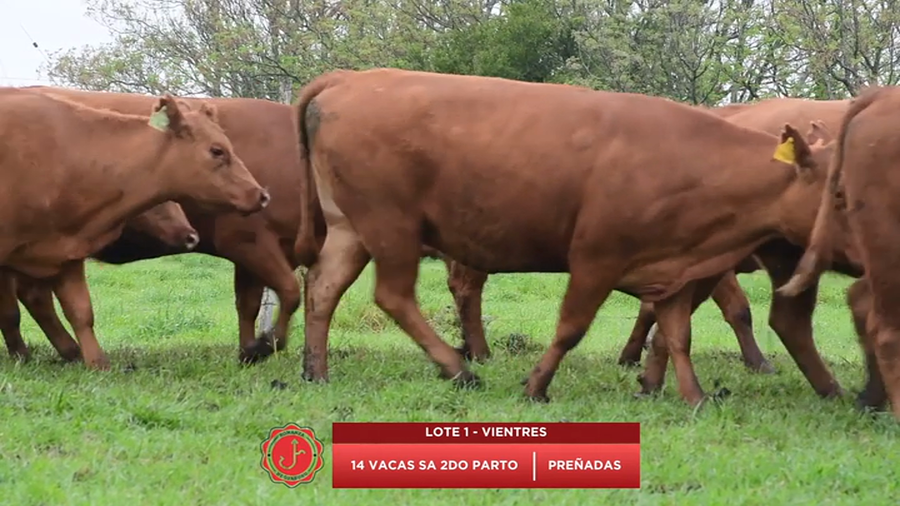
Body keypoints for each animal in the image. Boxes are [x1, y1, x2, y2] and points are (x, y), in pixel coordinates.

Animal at [292, 68, 839, 407]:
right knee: (393, 295)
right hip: (393, 227)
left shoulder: (676, 269)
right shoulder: (596, 258)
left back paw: (316, 371)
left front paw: (691, 395)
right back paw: (458, 368)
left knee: (322, 289)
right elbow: (571, 328)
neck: (690, 163)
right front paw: (537, 385)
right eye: (838, 188)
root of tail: (348, 78)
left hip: (351, 230)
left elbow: (676, 334)